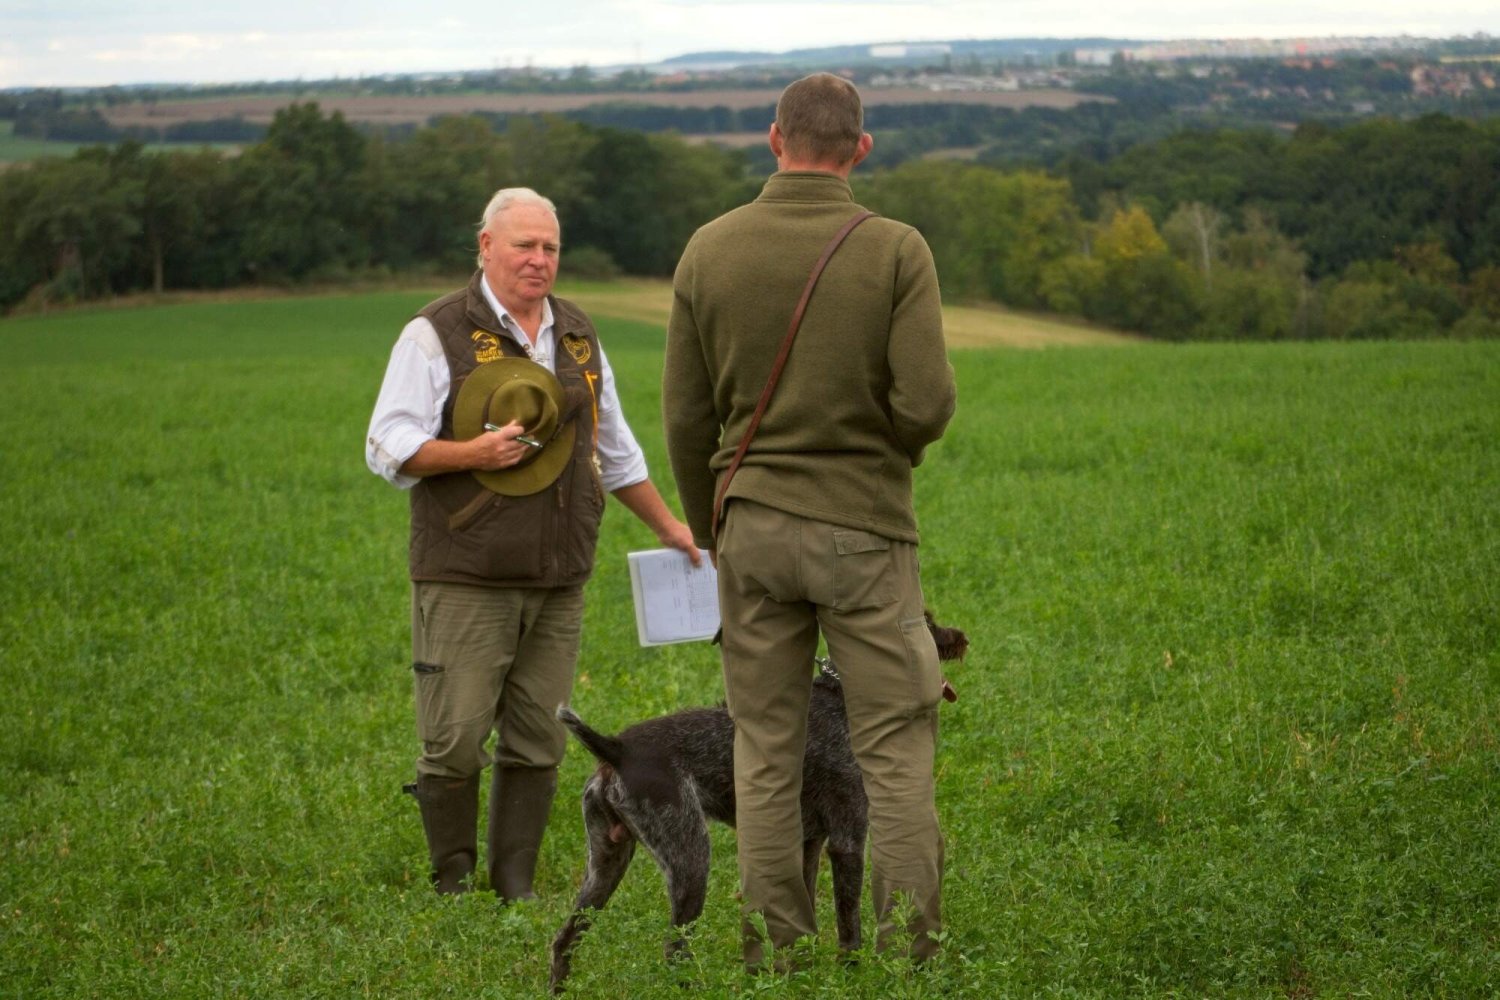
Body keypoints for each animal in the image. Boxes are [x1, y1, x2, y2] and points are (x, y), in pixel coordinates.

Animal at [548, 613, 969, 992]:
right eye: (929, 623)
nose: (961, 638)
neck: (841, 700)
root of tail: (617, 750)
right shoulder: (846, 840)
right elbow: (849, 923)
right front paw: (851, 972)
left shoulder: (808, 843)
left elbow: (805, 917)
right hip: (689, 858)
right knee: (674, 947)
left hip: (606, 865)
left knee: (564, 940)